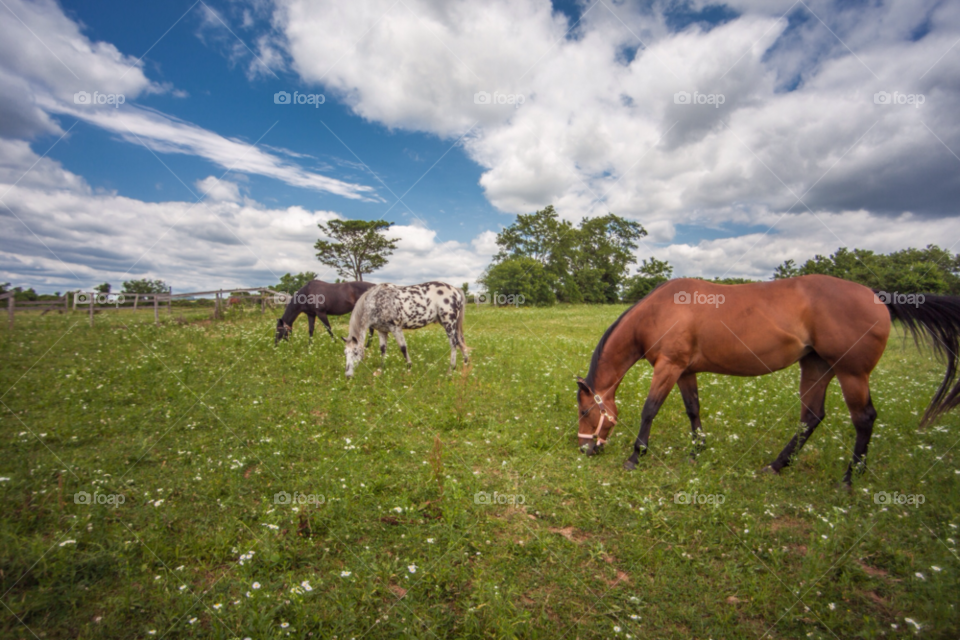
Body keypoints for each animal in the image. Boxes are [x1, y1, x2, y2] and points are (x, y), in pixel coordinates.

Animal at [575, 275, 960, 486]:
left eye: (584, 412)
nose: (585, 448)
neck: (660, 311)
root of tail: (878, 297)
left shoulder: (669, 367)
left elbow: (649, 410)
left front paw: (635, 456)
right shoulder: (685, 371)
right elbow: (693, 410)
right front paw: (697, 451)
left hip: (852, 374)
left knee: (863, 419)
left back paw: (850, 478)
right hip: (816, 367)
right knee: (811, 417)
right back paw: (777, 466)